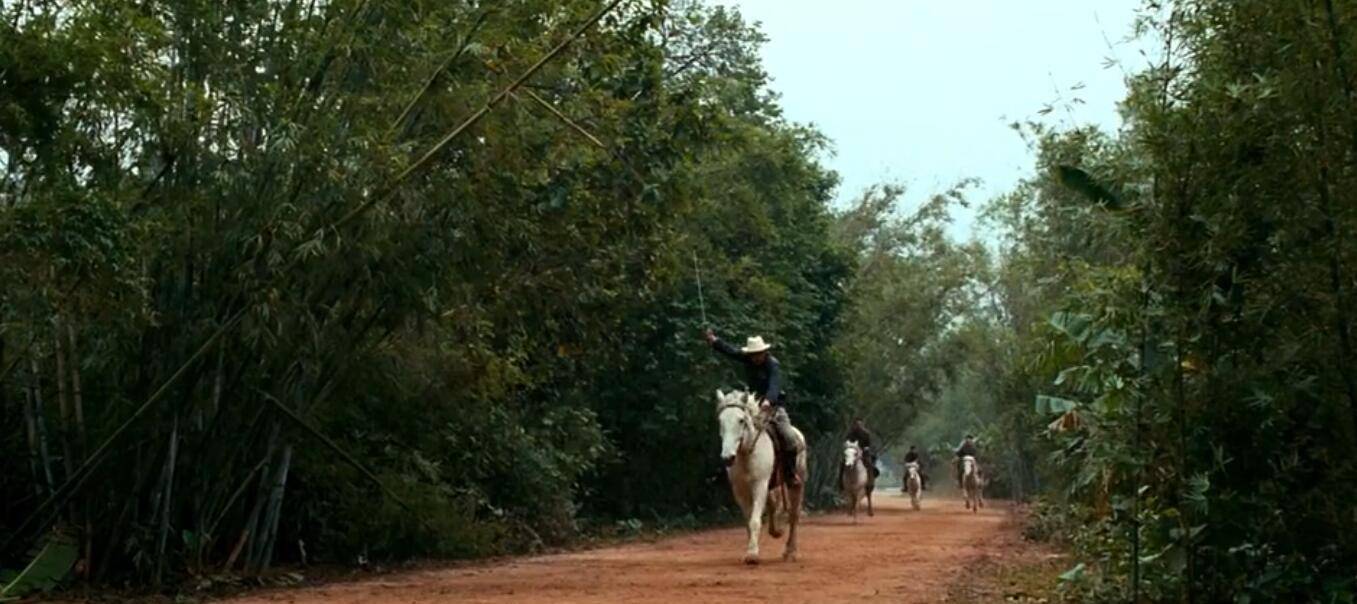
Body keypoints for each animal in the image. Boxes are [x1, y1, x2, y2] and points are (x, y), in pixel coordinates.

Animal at [716, 388, 797, 561]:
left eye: (741, 420)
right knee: (774, 504)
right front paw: (750, 549)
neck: (747, 454)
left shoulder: (760, 485)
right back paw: (776, 530)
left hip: (796, 483)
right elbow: (748, 522)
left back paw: (790, 551)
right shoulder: (740, 491)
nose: (727, 457)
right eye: (720, 421)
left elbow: (754, 520)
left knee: (794, 515)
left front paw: (752, 555)